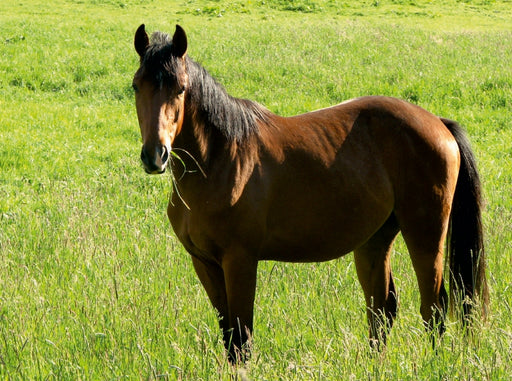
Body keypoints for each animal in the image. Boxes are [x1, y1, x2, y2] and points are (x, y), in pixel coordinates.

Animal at [131, 23, 488, 362]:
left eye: (180, 88)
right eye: (137, 85)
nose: (155, 155)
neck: (220, 159)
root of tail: (438, 124)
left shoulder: (239, 260)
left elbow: (242, 338)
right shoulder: (204, 262)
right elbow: (229, 335)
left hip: (426, 236)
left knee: (434, 306)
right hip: (375, 239)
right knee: (382, 309)